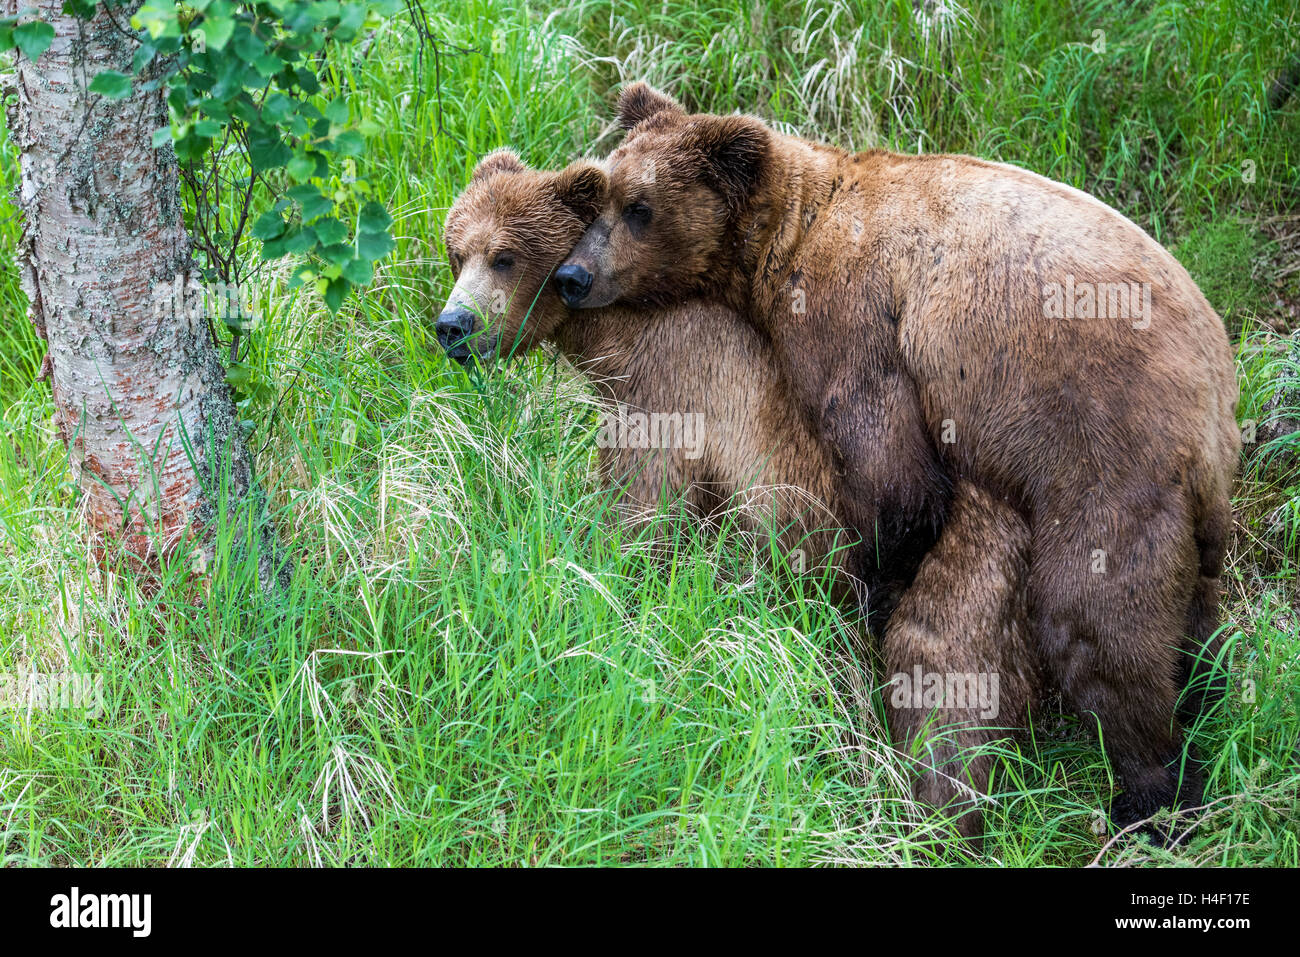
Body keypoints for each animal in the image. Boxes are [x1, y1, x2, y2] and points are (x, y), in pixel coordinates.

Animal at [441, 151, 1040, 842]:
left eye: (505, 255)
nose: (453, 325)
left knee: (939, 675)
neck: (612, 338)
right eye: (456, 250)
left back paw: (931, 809)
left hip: (957, 561)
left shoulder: (675, 392)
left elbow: (641, 508)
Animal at [553, 82, 1242, 832]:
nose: (572, 275)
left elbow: (891, 477)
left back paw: (1150, 794)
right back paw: (1205, 696)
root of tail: (1217, 403)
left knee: (1098, 625)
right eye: (602, 193)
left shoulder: (854, 319)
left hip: (1102, 458)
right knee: (1193, 619)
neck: (780, 243)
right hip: (1186, 516)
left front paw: (871, 582)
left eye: (639, 207)